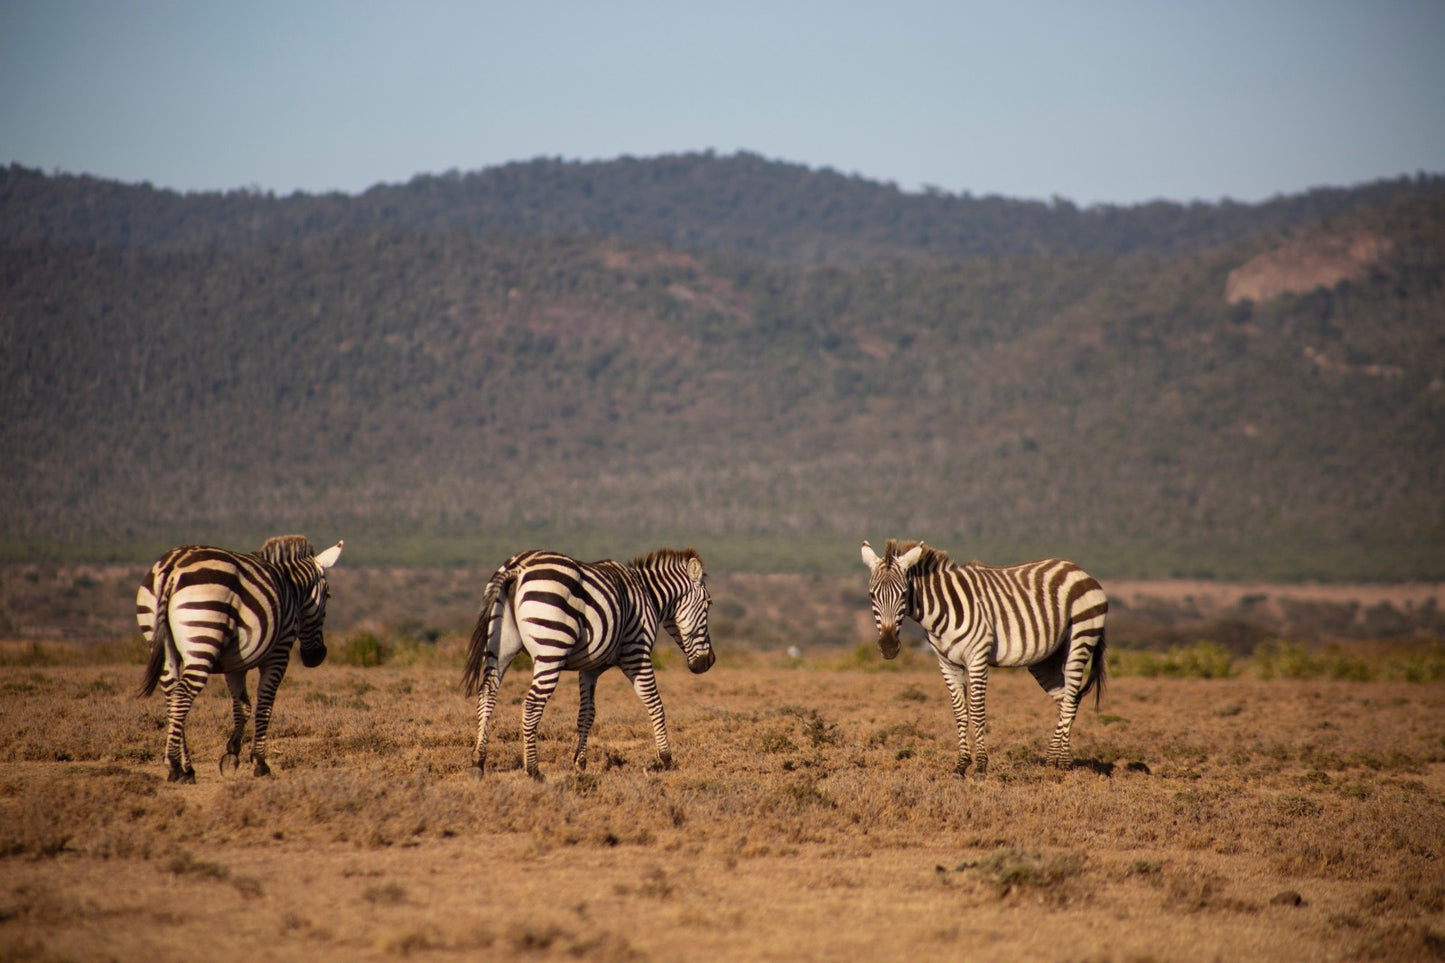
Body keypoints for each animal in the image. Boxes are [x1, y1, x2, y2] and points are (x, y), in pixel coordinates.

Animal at [139, 532, 345, 780]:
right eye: (329, 595)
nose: (317, 657)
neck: (291, 587)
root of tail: (173, 565)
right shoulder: (279, 654)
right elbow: (264, 705)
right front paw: (260, 762)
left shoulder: (236, 663)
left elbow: (242, 706)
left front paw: (231, 755)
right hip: (203, 637)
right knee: (183, 695)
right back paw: (175, 765)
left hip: (161, 644)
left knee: (171, 696)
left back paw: (187, 767)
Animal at [462, 543, 716, 775]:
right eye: (708, 603)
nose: (709, 662)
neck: (648, 595)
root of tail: (518, 566)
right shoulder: (636, 652)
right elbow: (654, 702)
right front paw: (666, 758)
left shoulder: (590, 668)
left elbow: (586, 714)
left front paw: (580, 763)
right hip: (551, 650)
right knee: (532, 705)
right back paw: (533, 770)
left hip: (499, 645)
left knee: (487, 694)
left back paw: (478, 760)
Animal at [855, 540, 1103, 775]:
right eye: (871, 595)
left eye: (904, 593)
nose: (888, 647)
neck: (942, 609)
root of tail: (1077, 569)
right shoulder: (948, 664)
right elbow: (959, 712)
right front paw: (961, 765)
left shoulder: (977, 658)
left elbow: (976, 711)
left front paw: (981, 766)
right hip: (1045, 660)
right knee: (1067, 699)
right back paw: (1055, 761)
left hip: (1080, 640)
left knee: (1070, 700)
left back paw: (1061, 761)